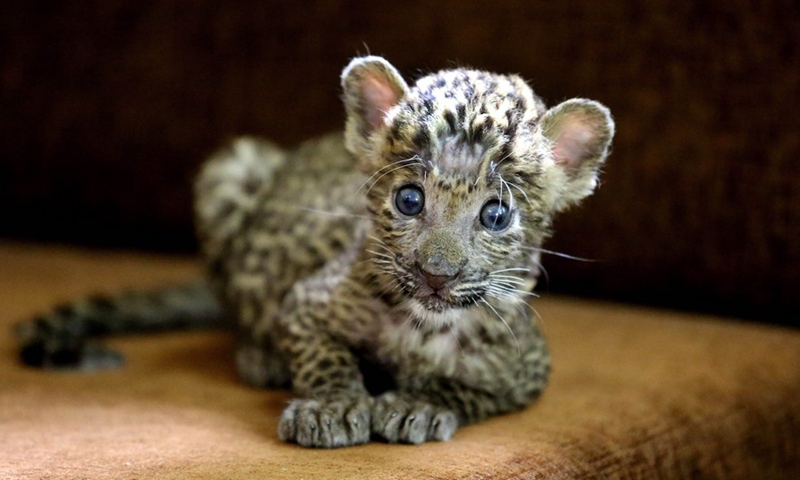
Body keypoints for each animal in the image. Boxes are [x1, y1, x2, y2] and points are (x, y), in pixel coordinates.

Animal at [15, 56, 614, 448]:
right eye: (409, 199)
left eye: (496, 214)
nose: (435, 274)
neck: (421, 325)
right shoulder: (305, 304)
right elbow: (324, 354)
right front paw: (333, 407)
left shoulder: (527, 370)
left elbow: (466, 387)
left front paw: (418, 403)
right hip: (232, 168)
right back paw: (260, 360)